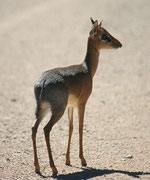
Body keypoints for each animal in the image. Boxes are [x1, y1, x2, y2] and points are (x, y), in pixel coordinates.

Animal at [31, 17, 122, 175]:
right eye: (105, 36)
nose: (119, 44)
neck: (87, 69)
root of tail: (42, 82)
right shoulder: (82, 103)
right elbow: (80, 127)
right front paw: (83, 160)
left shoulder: (71, 106)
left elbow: (71, 127)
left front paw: (68, 160)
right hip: (57, 110)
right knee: (46, 129)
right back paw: (53, 168)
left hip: (43, 109)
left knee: (34, 129)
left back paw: (37, 167)